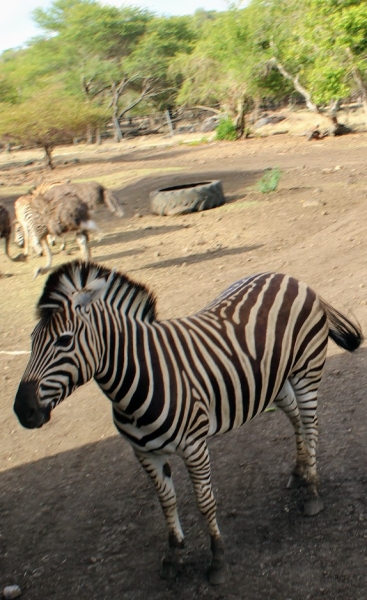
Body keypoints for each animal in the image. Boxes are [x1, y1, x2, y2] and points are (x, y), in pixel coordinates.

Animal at [13, 262, 362, 580]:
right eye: (31, 340)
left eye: (64, 340)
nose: (22, 411)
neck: (137, 380)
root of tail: (288, 276)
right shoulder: (144, 453)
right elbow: (166, 502)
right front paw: (175, 554)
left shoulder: (194, 446)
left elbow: (204, 501)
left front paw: (217, 559)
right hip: (271, 382)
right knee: (296, 419)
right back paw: (299, 471)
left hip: (306, 371)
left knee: (311, 424)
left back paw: (312, 490)